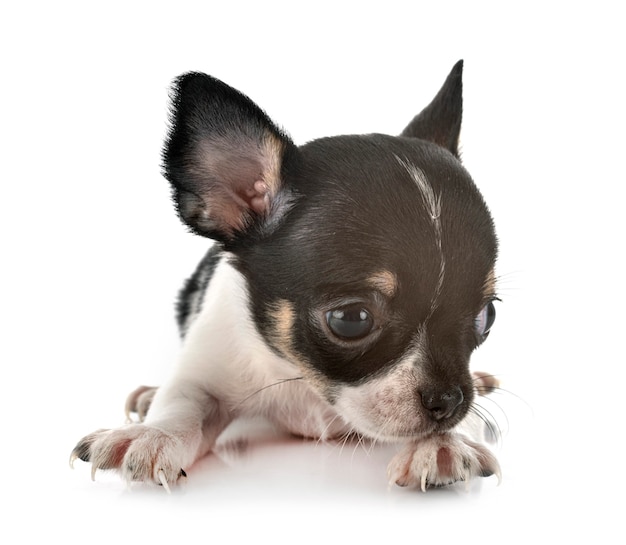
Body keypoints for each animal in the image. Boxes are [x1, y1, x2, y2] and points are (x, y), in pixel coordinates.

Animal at [70, 60, 500, 492]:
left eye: (487, 317)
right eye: (351, 319)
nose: (449, 400)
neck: (303, 378)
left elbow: (471, 419)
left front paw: (446, 443)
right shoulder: (209, 364)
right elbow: (182, 399)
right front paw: (152, 434)